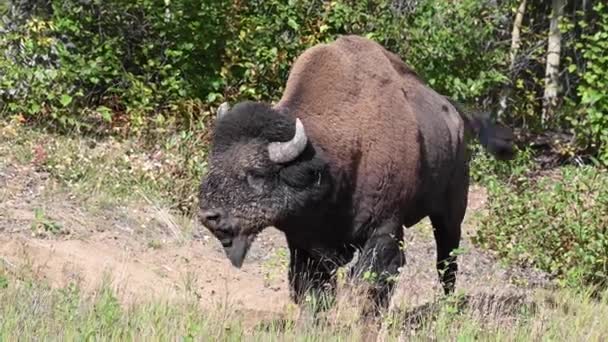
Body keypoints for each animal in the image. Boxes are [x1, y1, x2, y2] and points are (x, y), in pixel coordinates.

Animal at [198, 34, 512, 312]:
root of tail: (455, 115)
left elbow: (371, 283)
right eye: (214, 163)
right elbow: (312, 290)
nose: (209, 216)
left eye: (256, 173)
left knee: (447, 262)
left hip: (451, 212)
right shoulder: (305, 244)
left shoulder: (384, 230)